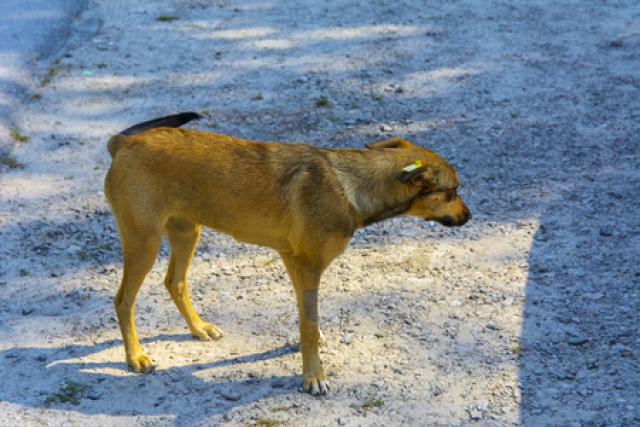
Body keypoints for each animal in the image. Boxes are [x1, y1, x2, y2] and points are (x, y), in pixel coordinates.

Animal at [104, 112, 470, 396]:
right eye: (452, 191)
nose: (469, 216)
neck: (351, 186)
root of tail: (122, 143)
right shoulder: (309, 266)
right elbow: (309, 322)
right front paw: (314, 376)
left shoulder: (291, 257)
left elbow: (305, 317)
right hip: (144, 241)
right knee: (123, 300)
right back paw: (135, 357)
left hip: (186, 232)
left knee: (175, 282)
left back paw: (199, 328)